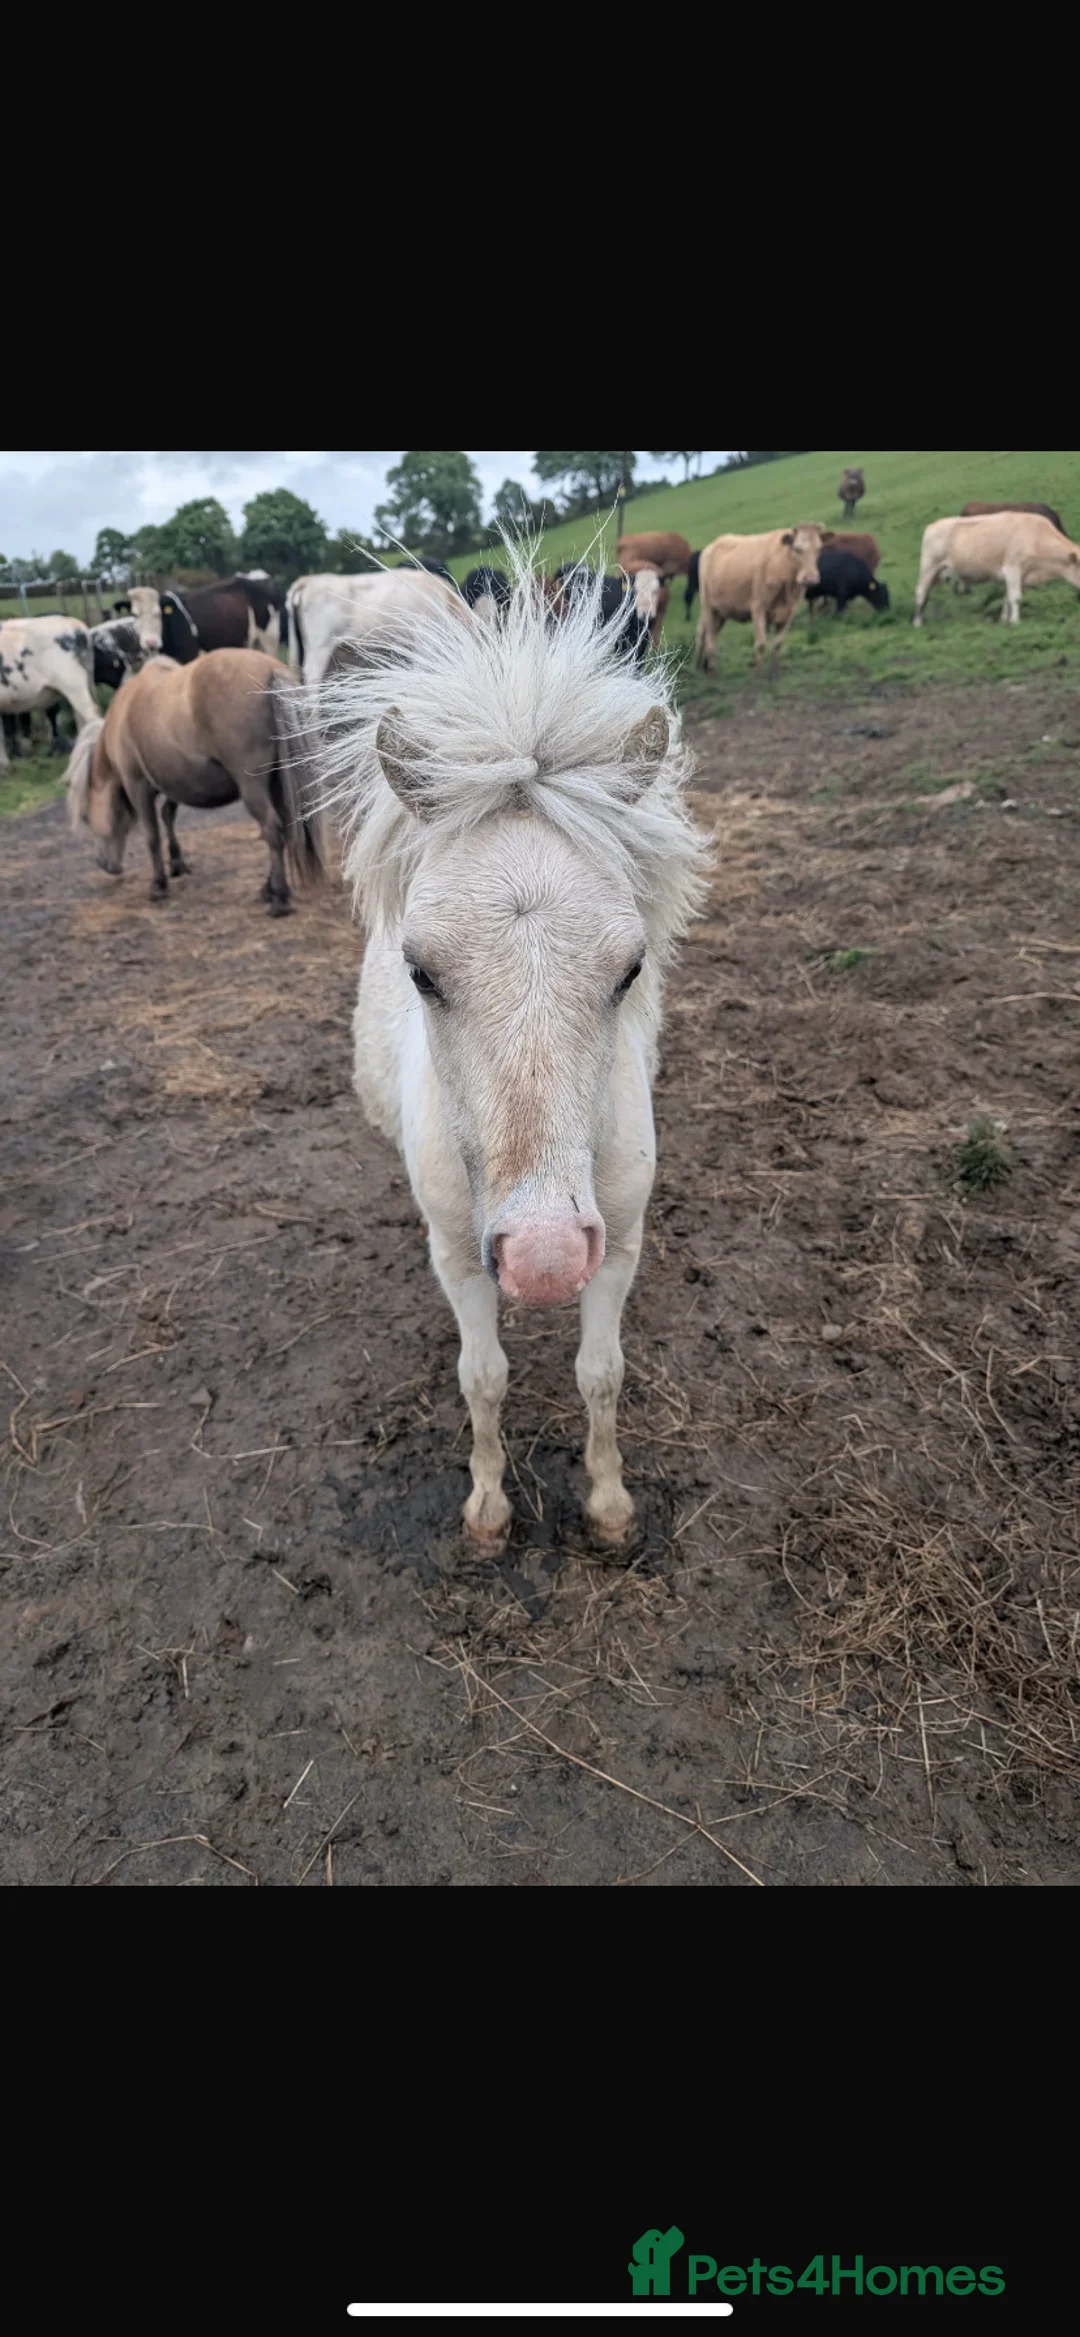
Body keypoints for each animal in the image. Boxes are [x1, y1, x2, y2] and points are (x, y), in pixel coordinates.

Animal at [66, 649, 325, 914]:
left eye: (85, 817)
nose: (104, 864)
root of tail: (272, 671)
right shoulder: (174, 780)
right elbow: (168, 815)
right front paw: (177, 862)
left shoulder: (138, 786)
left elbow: (152, 835)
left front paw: (158, 885)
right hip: (277, 782)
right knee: (286, 826)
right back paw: (268, 888)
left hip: (253, 789)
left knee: (272, 829)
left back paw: (279, 897)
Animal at [313, 545, 710, 1548]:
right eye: (420, 970)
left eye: (631, 968)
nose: (544, 1258)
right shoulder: (457, 1252)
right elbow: (482, 1376)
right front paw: (488, 1508)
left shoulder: (621, 1238)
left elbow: (601, 1373)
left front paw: (609, 1504)